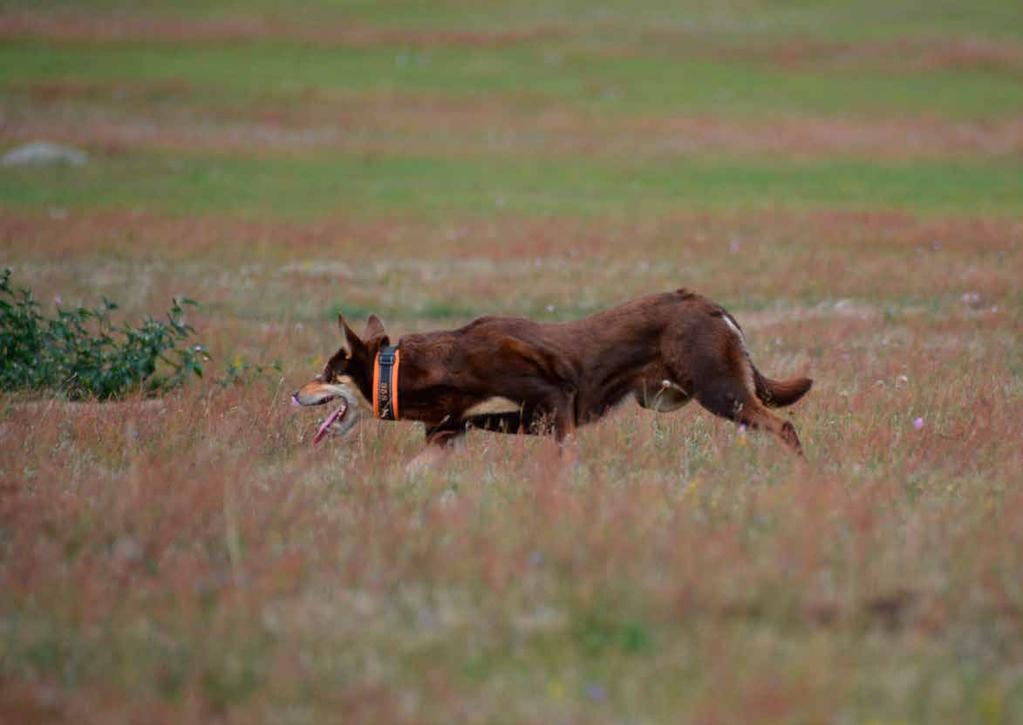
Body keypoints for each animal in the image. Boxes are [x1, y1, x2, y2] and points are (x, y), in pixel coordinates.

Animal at [292, 286, 810, 451]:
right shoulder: (471, 424)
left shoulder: (555, 405)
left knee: (784, 427)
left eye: (326, 374)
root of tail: (708, 304)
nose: (294, 394)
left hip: (718, 388)